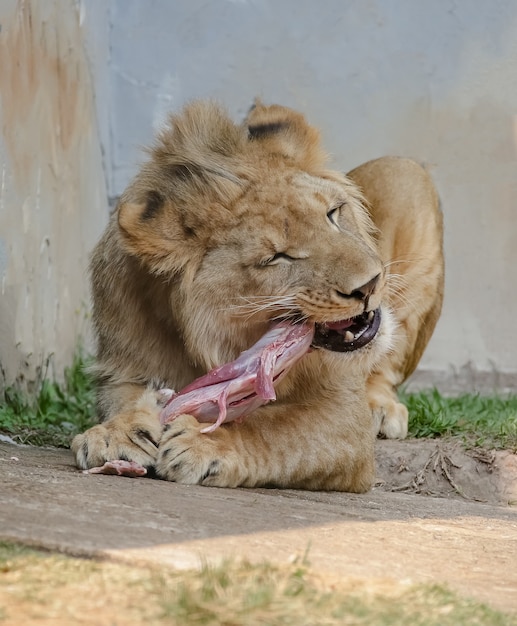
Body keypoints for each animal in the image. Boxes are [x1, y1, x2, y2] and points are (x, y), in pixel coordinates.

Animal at [71, 100, 444, 490]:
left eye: (333, 213)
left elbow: (276, 431)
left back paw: (381, 408)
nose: (369, 284)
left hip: (404, 174)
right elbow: (123, 399)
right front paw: (116, 433)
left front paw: (206, 442)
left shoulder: (343, 412)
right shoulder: (121, 368)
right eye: (277, 257)